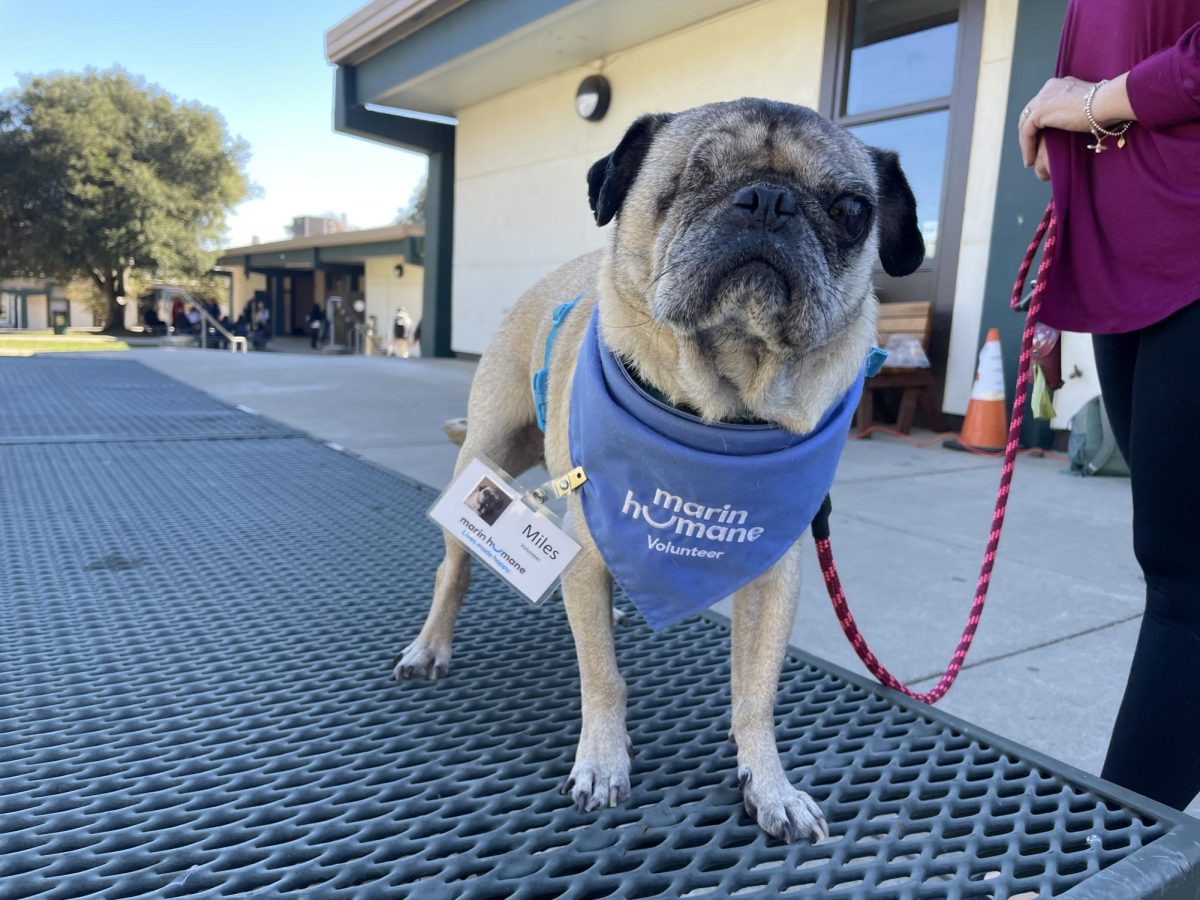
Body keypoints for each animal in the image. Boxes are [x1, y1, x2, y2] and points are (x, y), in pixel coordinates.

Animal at [388, 98, 921, 844]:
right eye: (688, 181)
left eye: (850, 210)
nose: (769, 201)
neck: (721, 416)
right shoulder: (588, 548)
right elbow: (603, 678)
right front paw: (602, 761)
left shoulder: (773, 576)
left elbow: (755, 694)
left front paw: (770, 783)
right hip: (485, 457)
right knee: (455, 569)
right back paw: (431, 645)